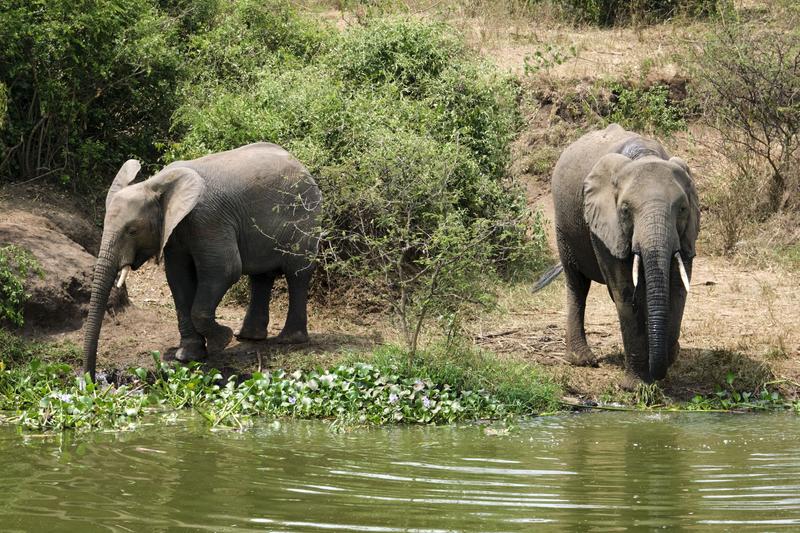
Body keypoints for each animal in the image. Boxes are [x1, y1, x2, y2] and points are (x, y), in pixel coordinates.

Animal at [84, 141, 322, 378]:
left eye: (132, 231)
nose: (90, 378)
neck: (155, 184)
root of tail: (300, 164)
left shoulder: (207, 219)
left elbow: (225, 270)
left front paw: (221, 341)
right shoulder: (175, 232)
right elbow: (178, 279)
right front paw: (189, 356)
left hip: (305, 218)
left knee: (297, 273)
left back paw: (289, 339)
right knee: (261, 277)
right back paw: (249, 337)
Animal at [544, 123, 700, 382]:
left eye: (682, 209)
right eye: (625, 210)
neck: (643, 155)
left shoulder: (686, 233)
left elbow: (678, 288)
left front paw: (668, 358)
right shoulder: (605, 226)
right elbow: (626, 293)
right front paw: (636, 384)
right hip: (564, 226)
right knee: (577, 284)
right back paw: (582, 359)